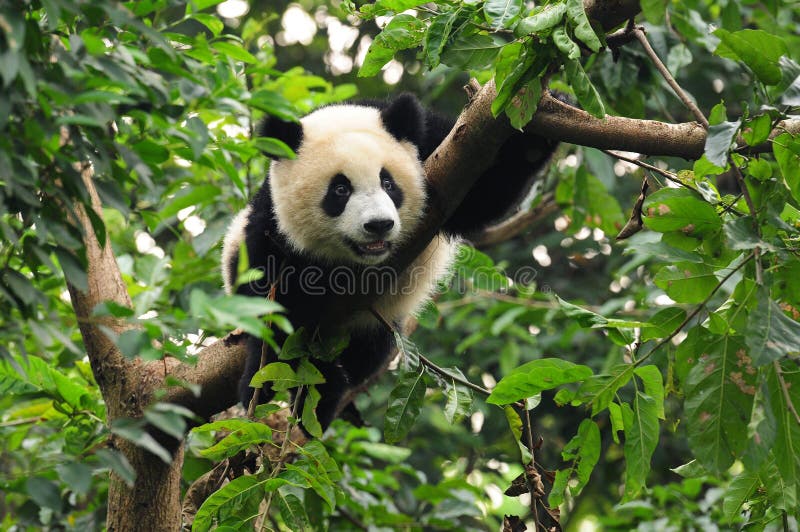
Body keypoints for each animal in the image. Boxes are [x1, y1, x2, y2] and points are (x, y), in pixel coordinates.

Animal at [222, 93, 552, 430]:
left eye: (388, 183)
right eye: (340, 189)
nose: (378, 225)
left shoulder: (439, 148)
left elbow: (484, 195)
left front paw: (542, 122)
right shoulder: (273, 224)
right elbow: (272, 302)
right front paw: (266, 382)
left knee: (369, 353)